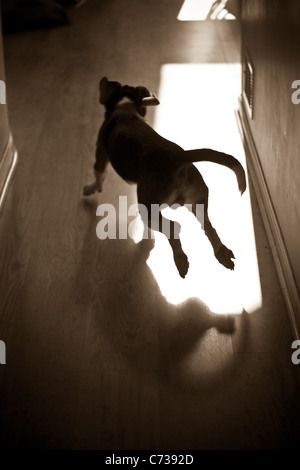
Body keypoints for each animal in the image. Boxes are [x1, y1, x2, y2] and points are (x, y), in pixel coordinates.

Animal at [84, 76, 246, 276]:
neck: (125, 108)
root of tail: (177, 158)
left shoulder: (100, 153)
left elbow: (99, 174)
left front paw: (91, 188)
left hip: (148, 208)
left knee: (174, 228)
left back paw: (181, 260)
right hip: (197, 202)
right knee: (208, 227)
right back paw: (221, 253)